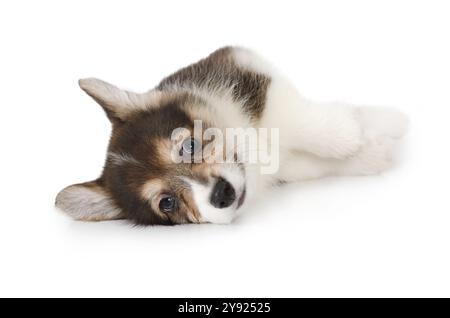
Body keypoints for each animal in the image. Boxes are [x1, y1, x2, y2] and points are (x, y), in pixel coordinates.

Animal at [56, 46, 408, 226]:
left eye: (190, 145)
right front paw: (372, 153)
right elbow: (320, 161)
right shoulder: (290, 167)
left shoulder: (245, 67)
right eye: (167, 202)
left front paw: (346, 133)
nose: (221, 194)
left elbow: (297, 119)